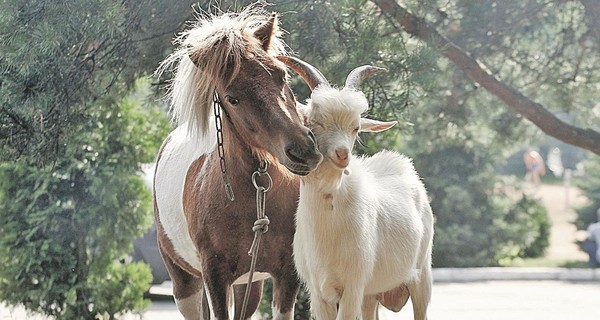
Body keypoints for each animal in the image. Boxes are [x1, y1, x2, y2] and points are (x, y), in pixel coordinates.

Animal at [156, 8, 324, 318]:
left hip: (249, 285)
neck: (257, 195)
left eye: (282, 75)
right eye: (232, 98)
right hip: (184, 284)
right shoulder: (215, 278)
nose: (303, 150)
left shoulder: (287, 276)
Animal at [278, 57, 434, 320]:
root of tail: (402, 163)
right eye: (315, 122)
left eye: (355, 127)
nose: (342, 155)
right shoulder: (319, 293)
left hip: (422, 275)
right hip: (372, 294)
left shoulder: (352, 286)